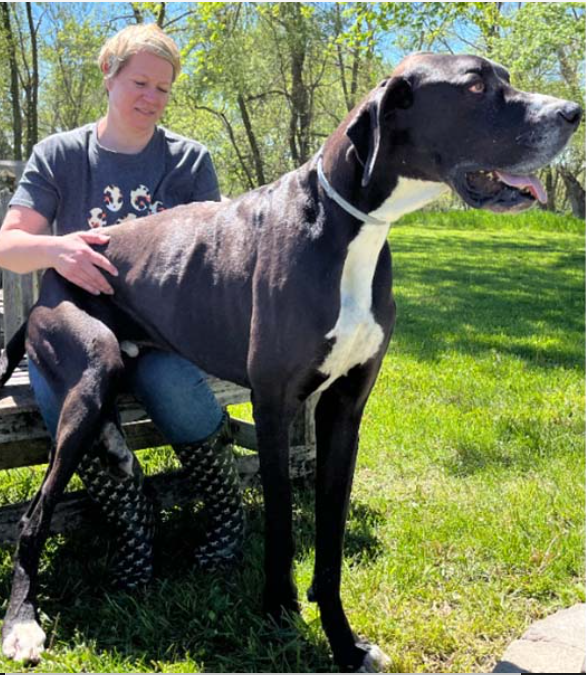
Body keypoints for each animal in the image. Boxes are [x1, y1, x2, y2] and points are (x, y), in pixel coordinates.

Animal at [0, 52, 580, 672]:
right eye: (474, 86)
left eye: (505, 77)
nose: (573, 112)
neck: (351, 227)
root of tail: (47, 281)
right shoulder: (275, 404)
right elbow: (280, 522)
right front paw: (280, 611)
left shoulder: (344, 410)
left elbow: (330, 536)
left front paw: (344, 640)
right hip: (90, 369)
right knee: (35, 514)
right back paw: (22, 624)